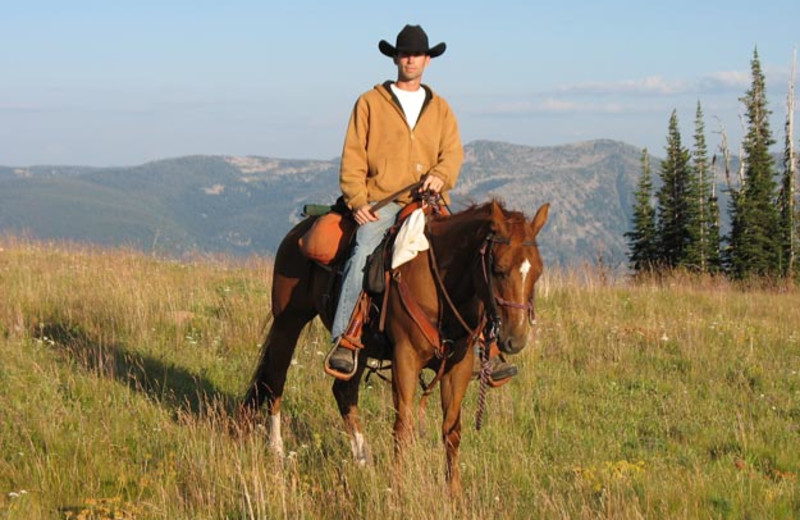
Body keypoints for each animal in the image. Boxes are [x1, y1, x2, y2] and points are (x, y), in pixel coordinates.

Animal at [241, 199, 548, 496]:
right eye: (498, 270)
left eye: (538, 272)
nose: (515, 339)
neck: (441, 286)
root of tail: (299, 230)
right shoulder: (405, 360)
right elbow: (403, 427)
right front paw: (398, 490)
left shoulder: (458, 367)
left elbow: (452, 430)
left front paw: (455, 495)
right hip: (288, 322)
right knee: (275, 381)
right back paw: (277, 449)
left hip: (360, 347)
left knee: (344, 391)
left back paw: (362, 460)